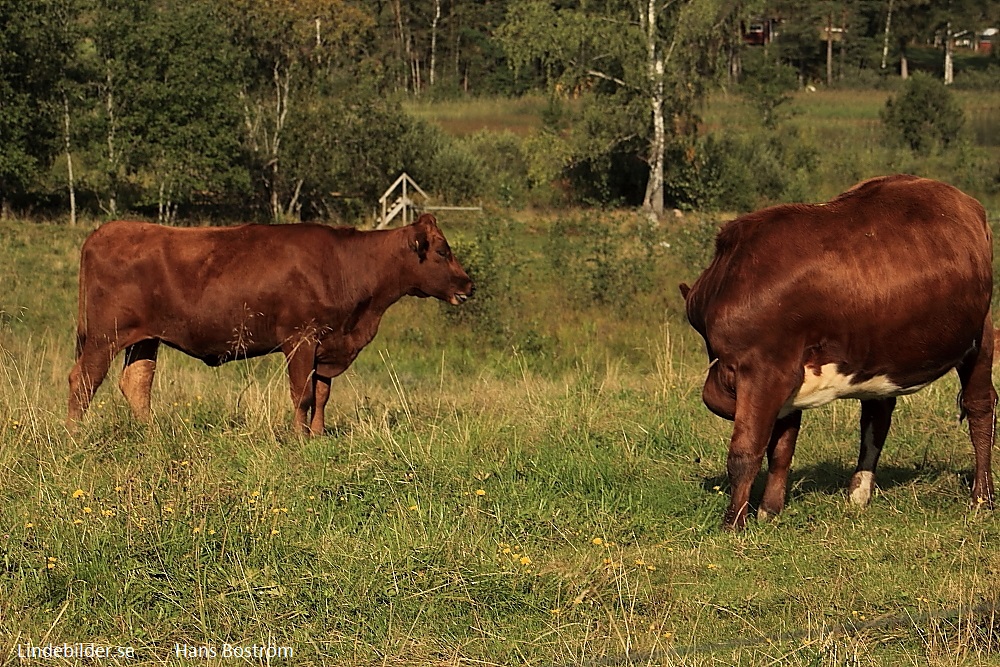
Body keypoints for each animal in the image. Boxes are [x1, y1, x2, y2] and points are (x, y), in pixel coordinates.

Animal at [68, 214, 474, 434]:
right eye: (443, 251)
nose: (469, 285)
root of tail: (106, 231)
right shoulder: (302, 339)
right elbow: (303, 393)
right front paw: (299, 438)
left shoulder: (328, 345)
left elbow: (322, 394)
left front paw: (318, 435)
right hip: (104, 337)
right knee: (83, 381)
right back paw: (74, 437)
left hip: (144, 338)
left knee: (136, 383)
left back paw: (152, 435)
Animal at [676, 175, 996, 528]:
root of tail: (964, 200)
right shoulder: (787, 379)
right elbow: (781, 449)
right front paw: (770, 511)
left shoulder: (764, 370)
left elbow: (746, 452)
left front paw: (733, 523)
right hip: (881, 350)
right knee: (876, 418)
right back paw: (858, 494)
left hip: (980, 334)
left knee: (980, 407)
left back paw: (981, 498)